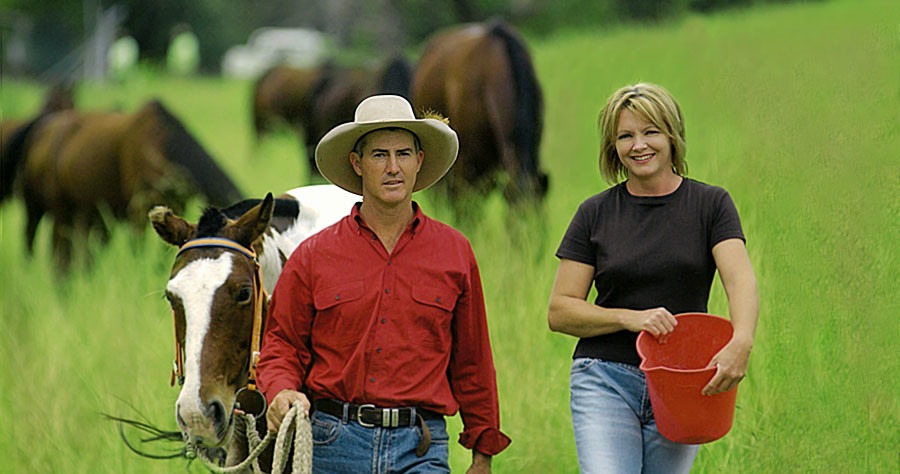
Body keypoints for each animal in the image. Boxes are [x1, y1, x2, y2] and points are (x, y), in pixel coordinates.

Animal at [2, 98, 243, 270]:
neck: (165, 147)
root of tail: (39, 131)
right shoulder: (138, 208)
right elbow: (137, 248)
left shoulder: (175, 206)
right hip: (42, 208)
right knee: (39, 242)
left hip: (83, 214)